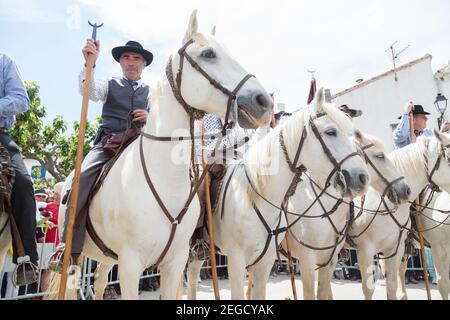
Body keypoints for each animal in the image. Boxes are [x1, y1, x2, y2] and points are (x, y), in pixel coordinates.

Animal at [51, 10, 274, 300]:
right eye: (208, 54)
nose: (263, 102)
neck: (165, 178)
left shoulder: (174, 262)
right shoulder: (130, 265)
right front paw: (90, 52)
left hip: (107, 257)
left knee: (99, 283)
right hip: (76, 259)